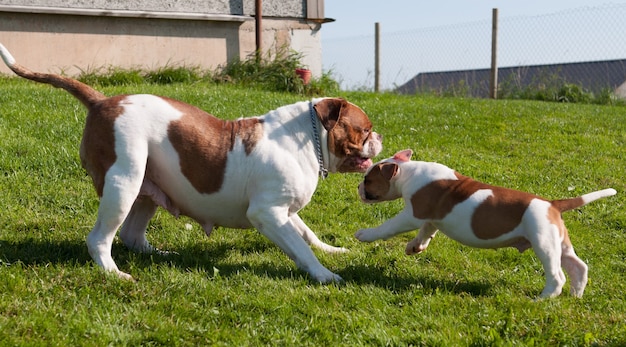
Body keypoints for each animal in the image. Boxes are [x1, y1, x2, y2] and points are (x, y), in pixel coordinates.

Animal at [0, 42, 382, 282]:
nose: (379, 138)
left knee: (132, 234)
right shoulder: (269, 213)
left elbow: (306, 233)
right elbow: (300, 249)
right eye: (364, 129)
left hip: (145, 187)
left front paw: (332, 249)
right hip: (123, 182)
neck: (307, 137)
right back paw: (114, 273)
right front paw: (324, 275)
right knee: (100, 238)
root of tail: (102, 100)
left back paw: (162, 256)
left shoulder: (285, 212)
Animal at [356, 150, 616, 300]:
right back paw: (576, 294)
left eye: (368, 180)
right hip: (558, 241)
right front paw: (415, 247)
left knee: (557, 276)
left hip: (543, 243)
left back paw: (542, 299)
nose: (358, 188)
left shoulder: (412, 214)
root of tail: (552, 204)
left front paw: (365, 234)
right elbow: (426, 232)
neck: (408, 172)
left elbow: (389, 226)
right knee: (578, 266)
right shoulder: (431, 218)